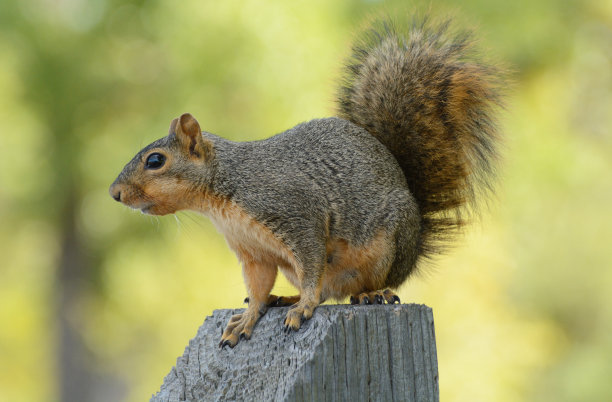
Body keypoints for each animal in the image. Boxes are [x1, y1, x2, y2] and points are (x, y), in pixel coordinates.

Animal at [109, 16, 502, 348]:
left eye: (155, 161)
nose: (115, 193)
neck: (223, 193)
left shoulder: (297, 214)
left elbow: (312, 265)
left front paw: (303, 308)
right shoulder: (254, 252)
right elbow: (258, 286)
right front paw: (249, 317)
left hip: (386, 244)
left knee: (361, 285)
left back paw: (369, 294)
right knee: (328, 291)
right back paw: (286, 297)